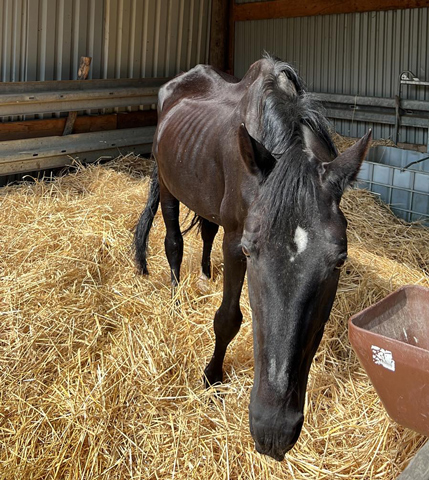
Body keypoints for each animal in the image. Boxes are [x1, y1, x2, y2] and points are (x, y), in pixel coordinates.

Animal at [135, 56, 372, 462]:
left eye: (340, 260)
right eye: (249, 250)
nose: (273, 431)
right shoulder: (234, 240)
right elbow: (227, 319)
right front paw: (212, 377)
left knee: (205, 232)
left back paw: (205, 275)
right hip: (167, 187)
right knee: (173, 243)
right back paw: (177, 297)